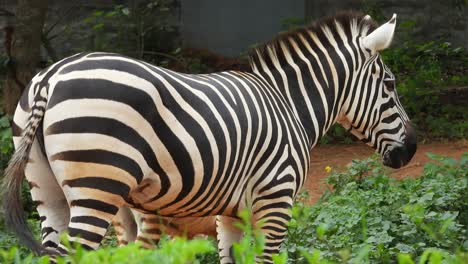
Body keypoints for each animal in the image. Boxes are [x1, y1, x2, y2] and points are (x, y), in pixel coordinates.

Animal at [1, 11, 414, 262]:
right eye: (390, 85)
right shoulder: (276, 200)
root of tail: (50, 77)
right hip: (96, 186)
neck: (289, 104)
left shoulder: (231, 214)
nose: (410, 149)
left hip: (48, 191)